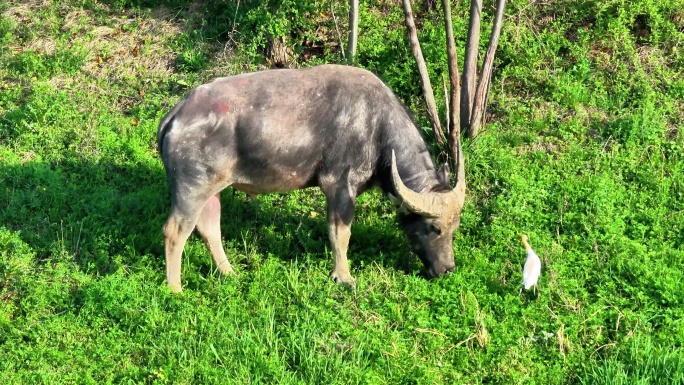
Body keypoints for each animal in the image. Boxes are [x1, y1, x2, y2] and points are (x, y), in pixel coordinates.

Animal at [157, 63, 464, 292]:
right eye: (434, 228)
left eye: (455, 227)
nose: (448, 269)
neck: (376, 128)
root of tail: (177, 114)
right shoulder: (339, 185)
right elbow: (340, 233)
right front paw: (344, 277)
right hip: (191, 189)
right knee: (175, 231)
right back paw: (175, 288)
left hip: (212, 190)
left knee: (209, 227)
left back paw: (228, 272)